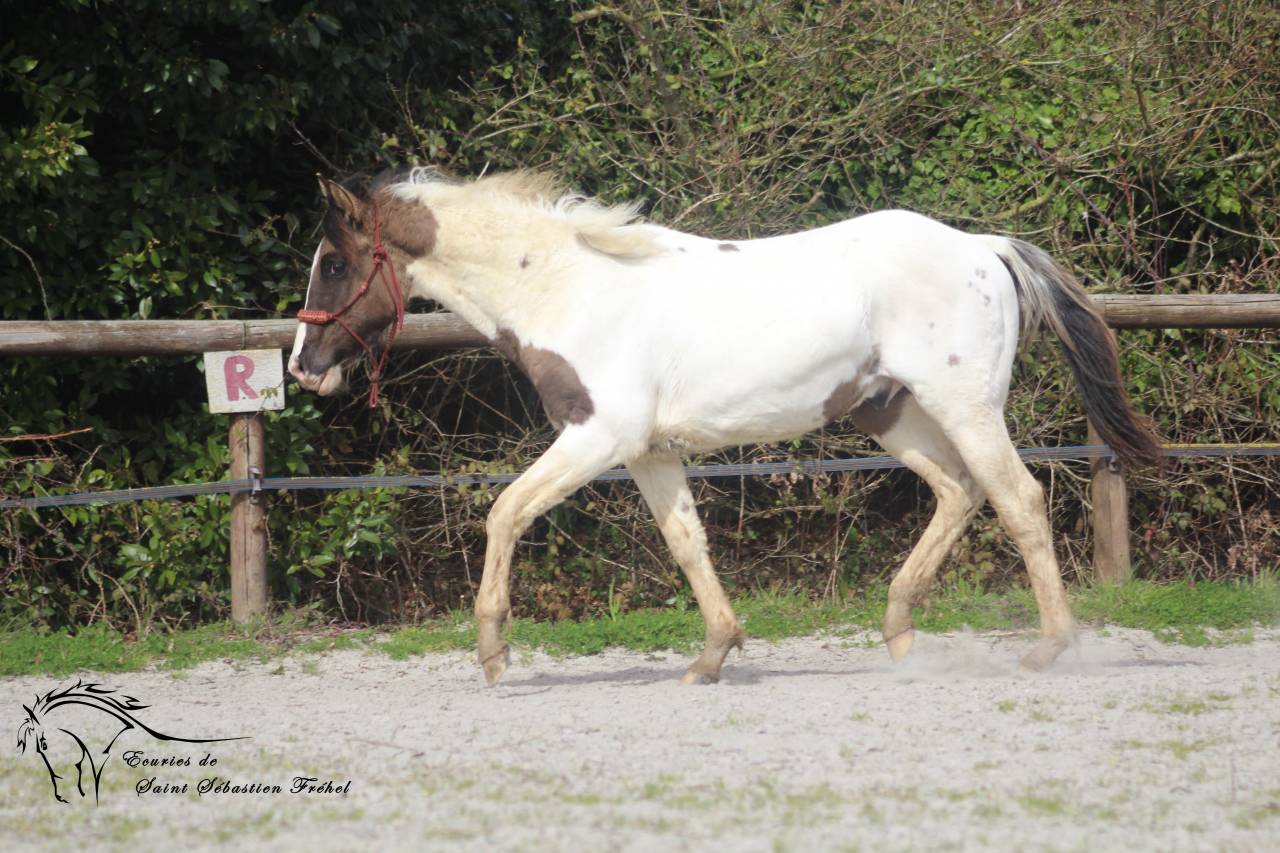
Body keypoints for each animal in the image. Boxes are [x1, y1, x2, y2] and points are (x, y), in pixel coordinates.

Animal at [288, 168, 1160, 687]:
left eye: (333, 262)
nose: (302, 365)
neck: (568, 287)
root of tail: (984, 248)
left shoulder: (597, 436)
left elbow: (505, 511)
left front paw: (494, 650)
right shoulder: (647, 452)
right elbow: (686, 542)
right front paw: (712, 655)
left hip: (964, 405)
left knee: (1018, 498)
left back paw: (1049, 646)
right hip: (888, 409)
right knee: (959, 491)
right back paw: (899, 634)